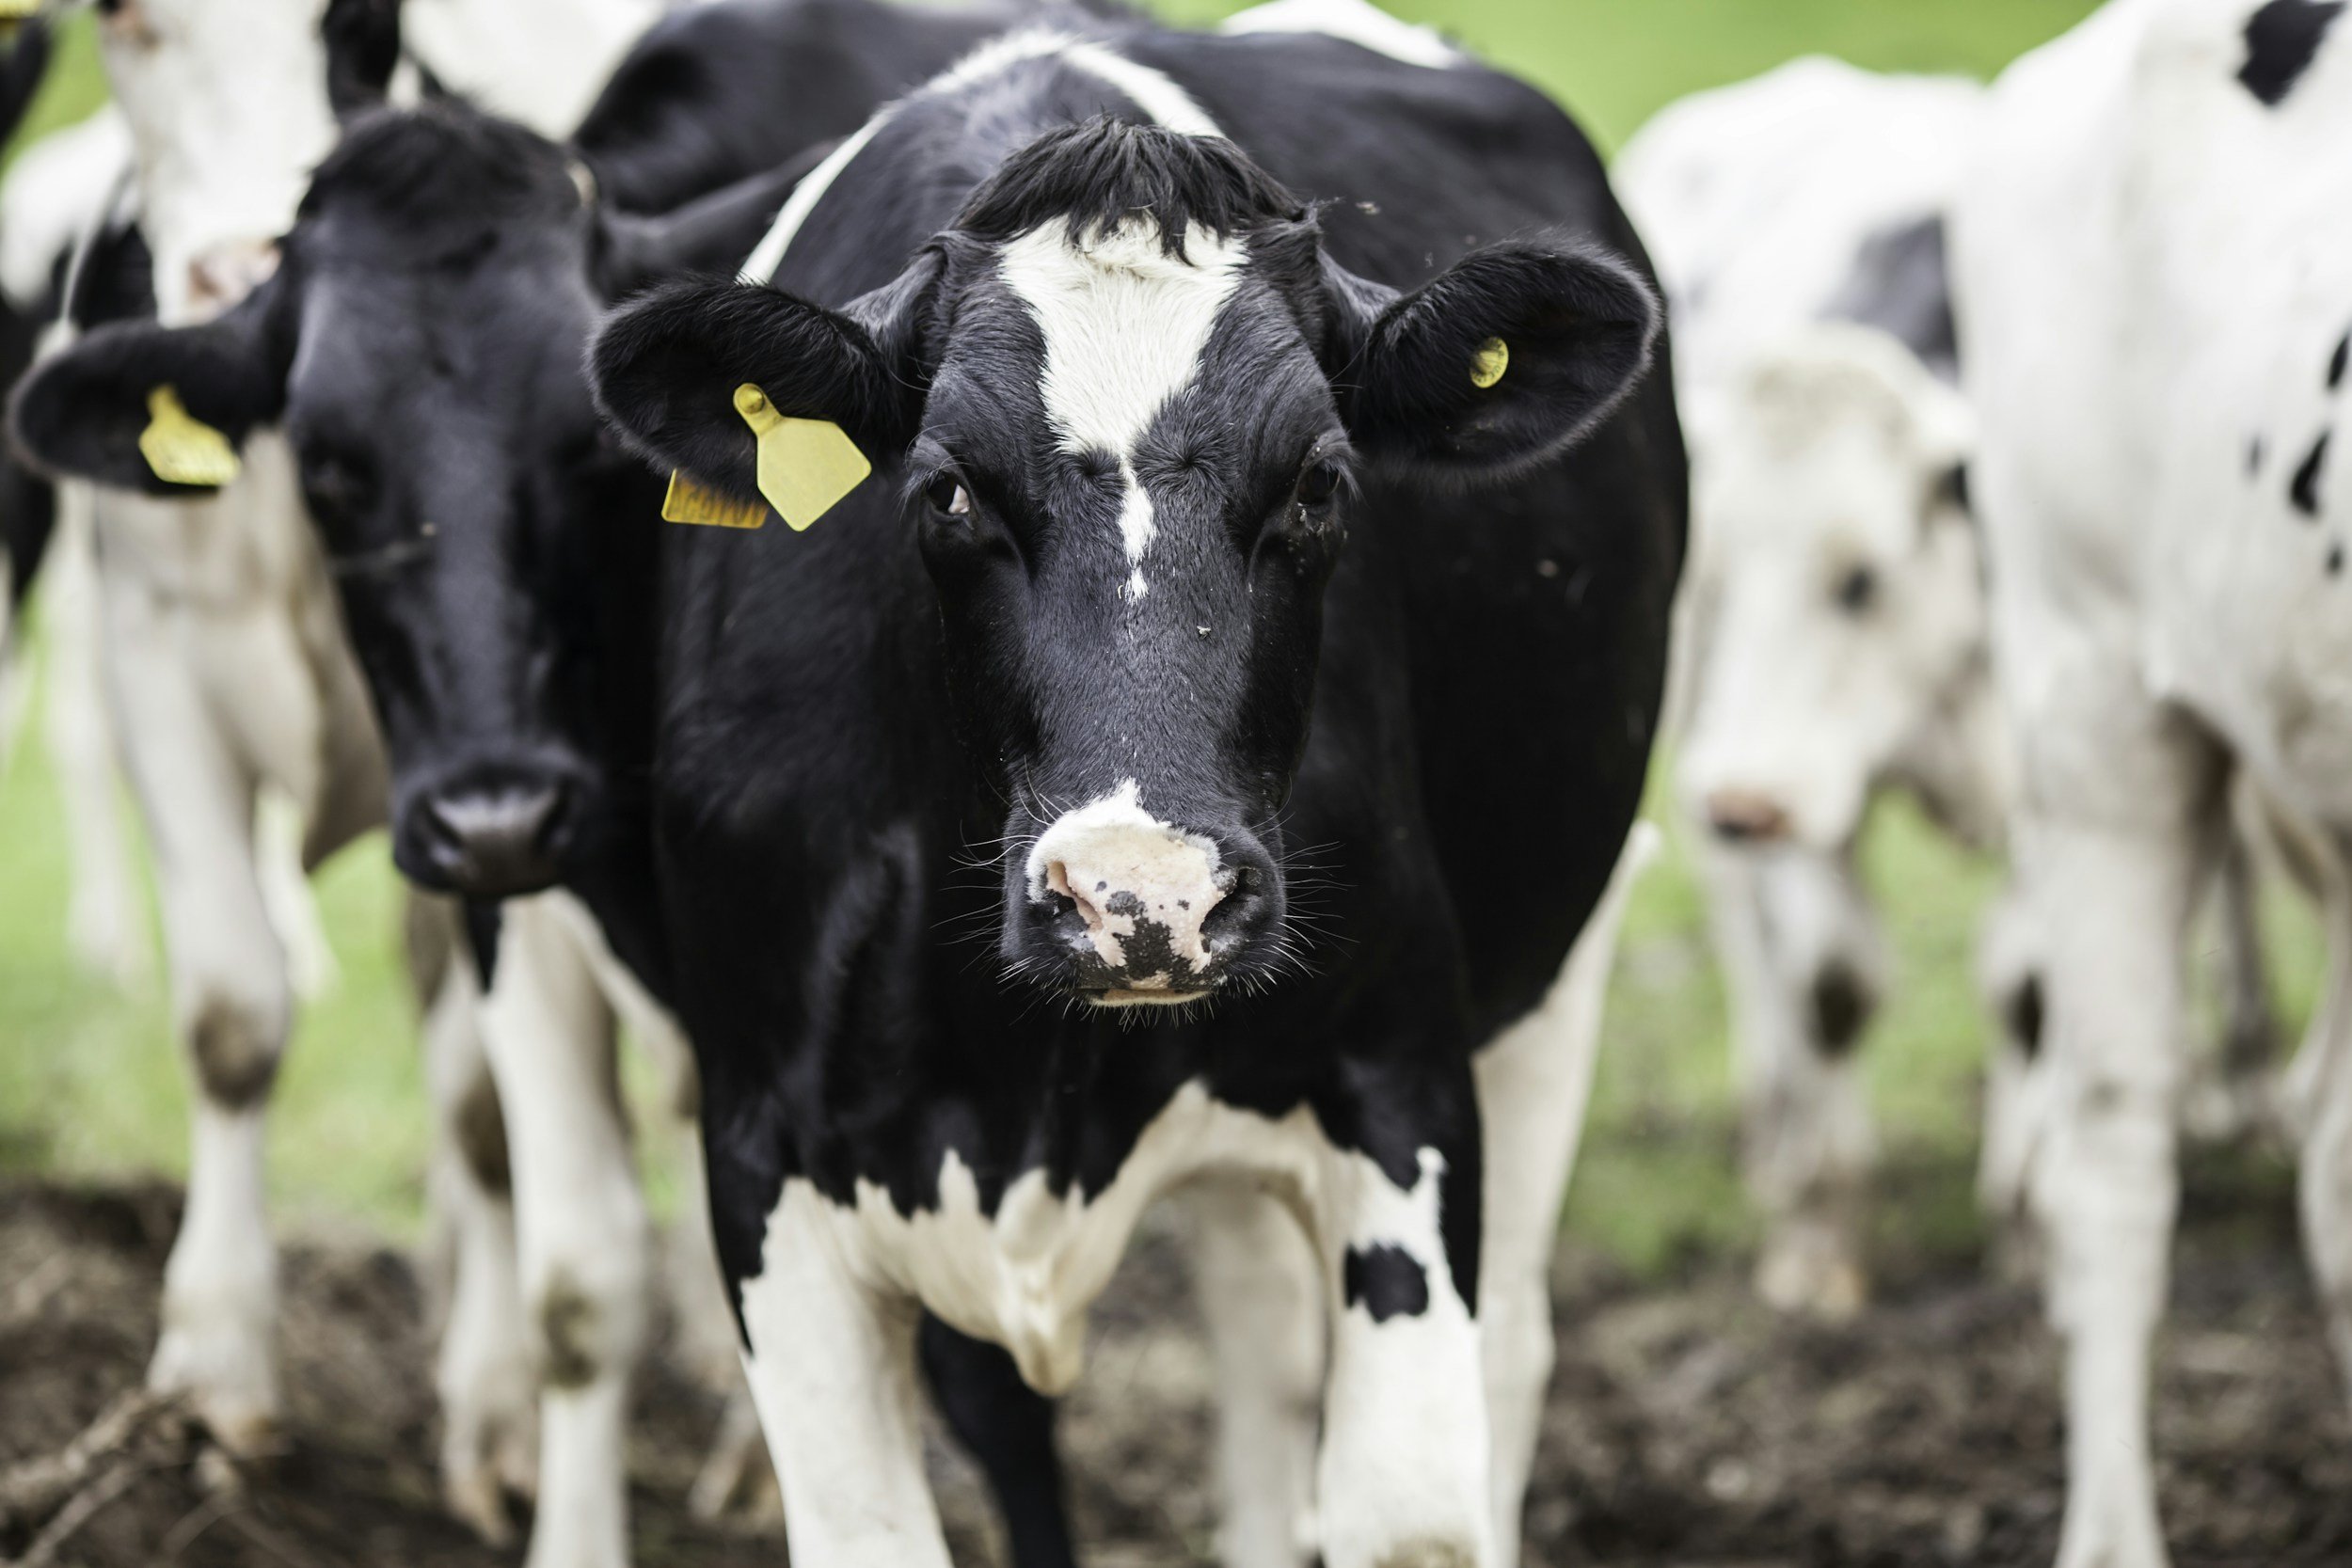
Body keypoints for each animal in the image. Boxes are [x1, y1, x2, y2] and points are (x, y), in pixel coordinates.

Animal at [577, 6, 1681, 1564]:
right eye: (948, 487)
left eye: (1322, 482)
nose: (1141, 900)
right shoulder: (762, 1142)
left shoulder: (1402, 1076)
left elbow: (1411, 1503)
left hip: (1557, 959)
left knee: (1492, 1345)